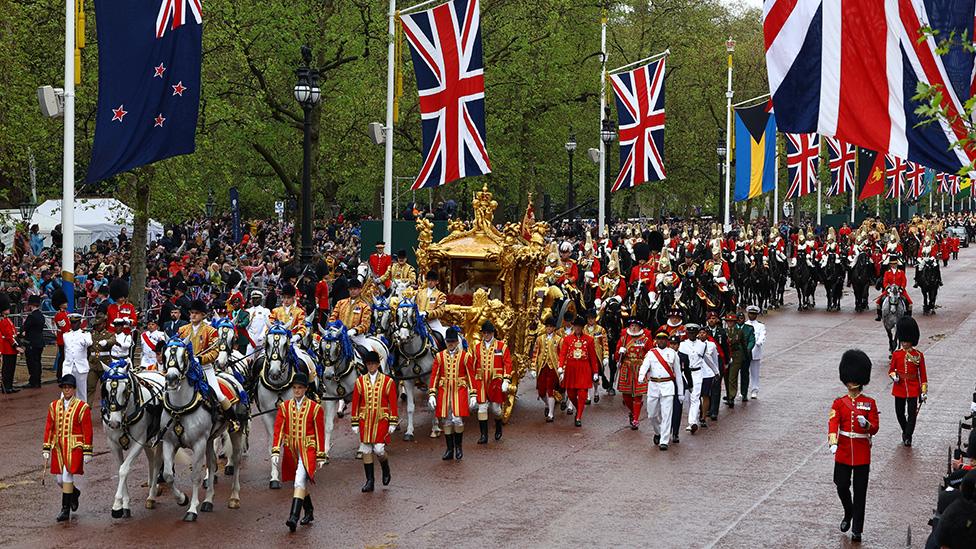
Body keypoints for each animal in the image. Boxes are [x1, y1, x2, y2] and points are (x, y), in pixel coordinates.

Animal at [99, 358, 164, 516]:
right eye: (106, 390)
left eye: (125, 389)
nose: (114, 423)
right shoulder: (113, 444)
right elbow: (120, 469)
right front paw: (125, 504)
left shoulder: (138, 443)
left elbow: (124, 469)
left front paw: (117, 504)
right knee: (151, 460)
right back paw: (151, 484)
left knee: (157, 462)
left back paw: (152, 495)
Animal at [159, 336, 244, 520]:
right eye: (165, 354)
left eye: (184, 355)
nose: (171, 378)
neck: (181, 408)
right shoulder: (169, 443)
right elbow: (168, 475)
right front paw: (182, 499)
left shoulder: (198, 443)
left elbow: (195, 475)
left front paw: (191, 509)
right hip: (210, 439)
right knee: (212, 463)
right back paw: (208, 501)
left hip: (235, 432)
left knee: (236, 459)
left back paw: (234, 497)